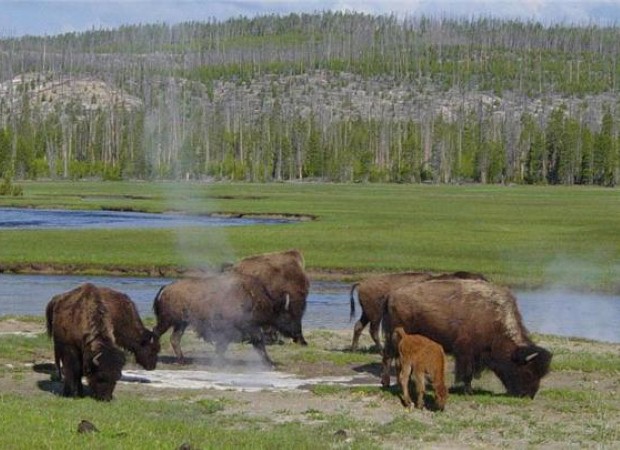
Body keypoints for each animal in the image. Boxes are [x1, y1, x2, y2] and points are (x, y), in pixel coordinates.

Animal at [154, 270, 300, 366]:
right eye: (287, 315)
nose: (297, 333)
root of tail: (166, 288)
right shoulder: (241, 329)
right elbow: (257, 343)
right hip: (167, 321)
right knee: (157, 332)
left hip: (181, 324)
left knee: (175, 338)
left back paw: (182, 361)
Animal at [348, 270, 490, 352]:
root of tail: (362, 284)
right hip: (375, 315)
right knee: (373, 331)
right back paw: (380, 350)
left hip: (367, 314)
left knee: (359, 326)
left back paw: (354, 349)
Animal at [382, 280, 552, 400]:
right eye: (528, 372)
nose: (528, 395)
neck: (494, 320)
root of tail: (391, 296)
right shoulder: (466, 352)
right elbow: (467, 372)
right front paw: (468, 391)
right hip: (395, 338)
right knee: (388, 358)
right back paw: (387, 383)